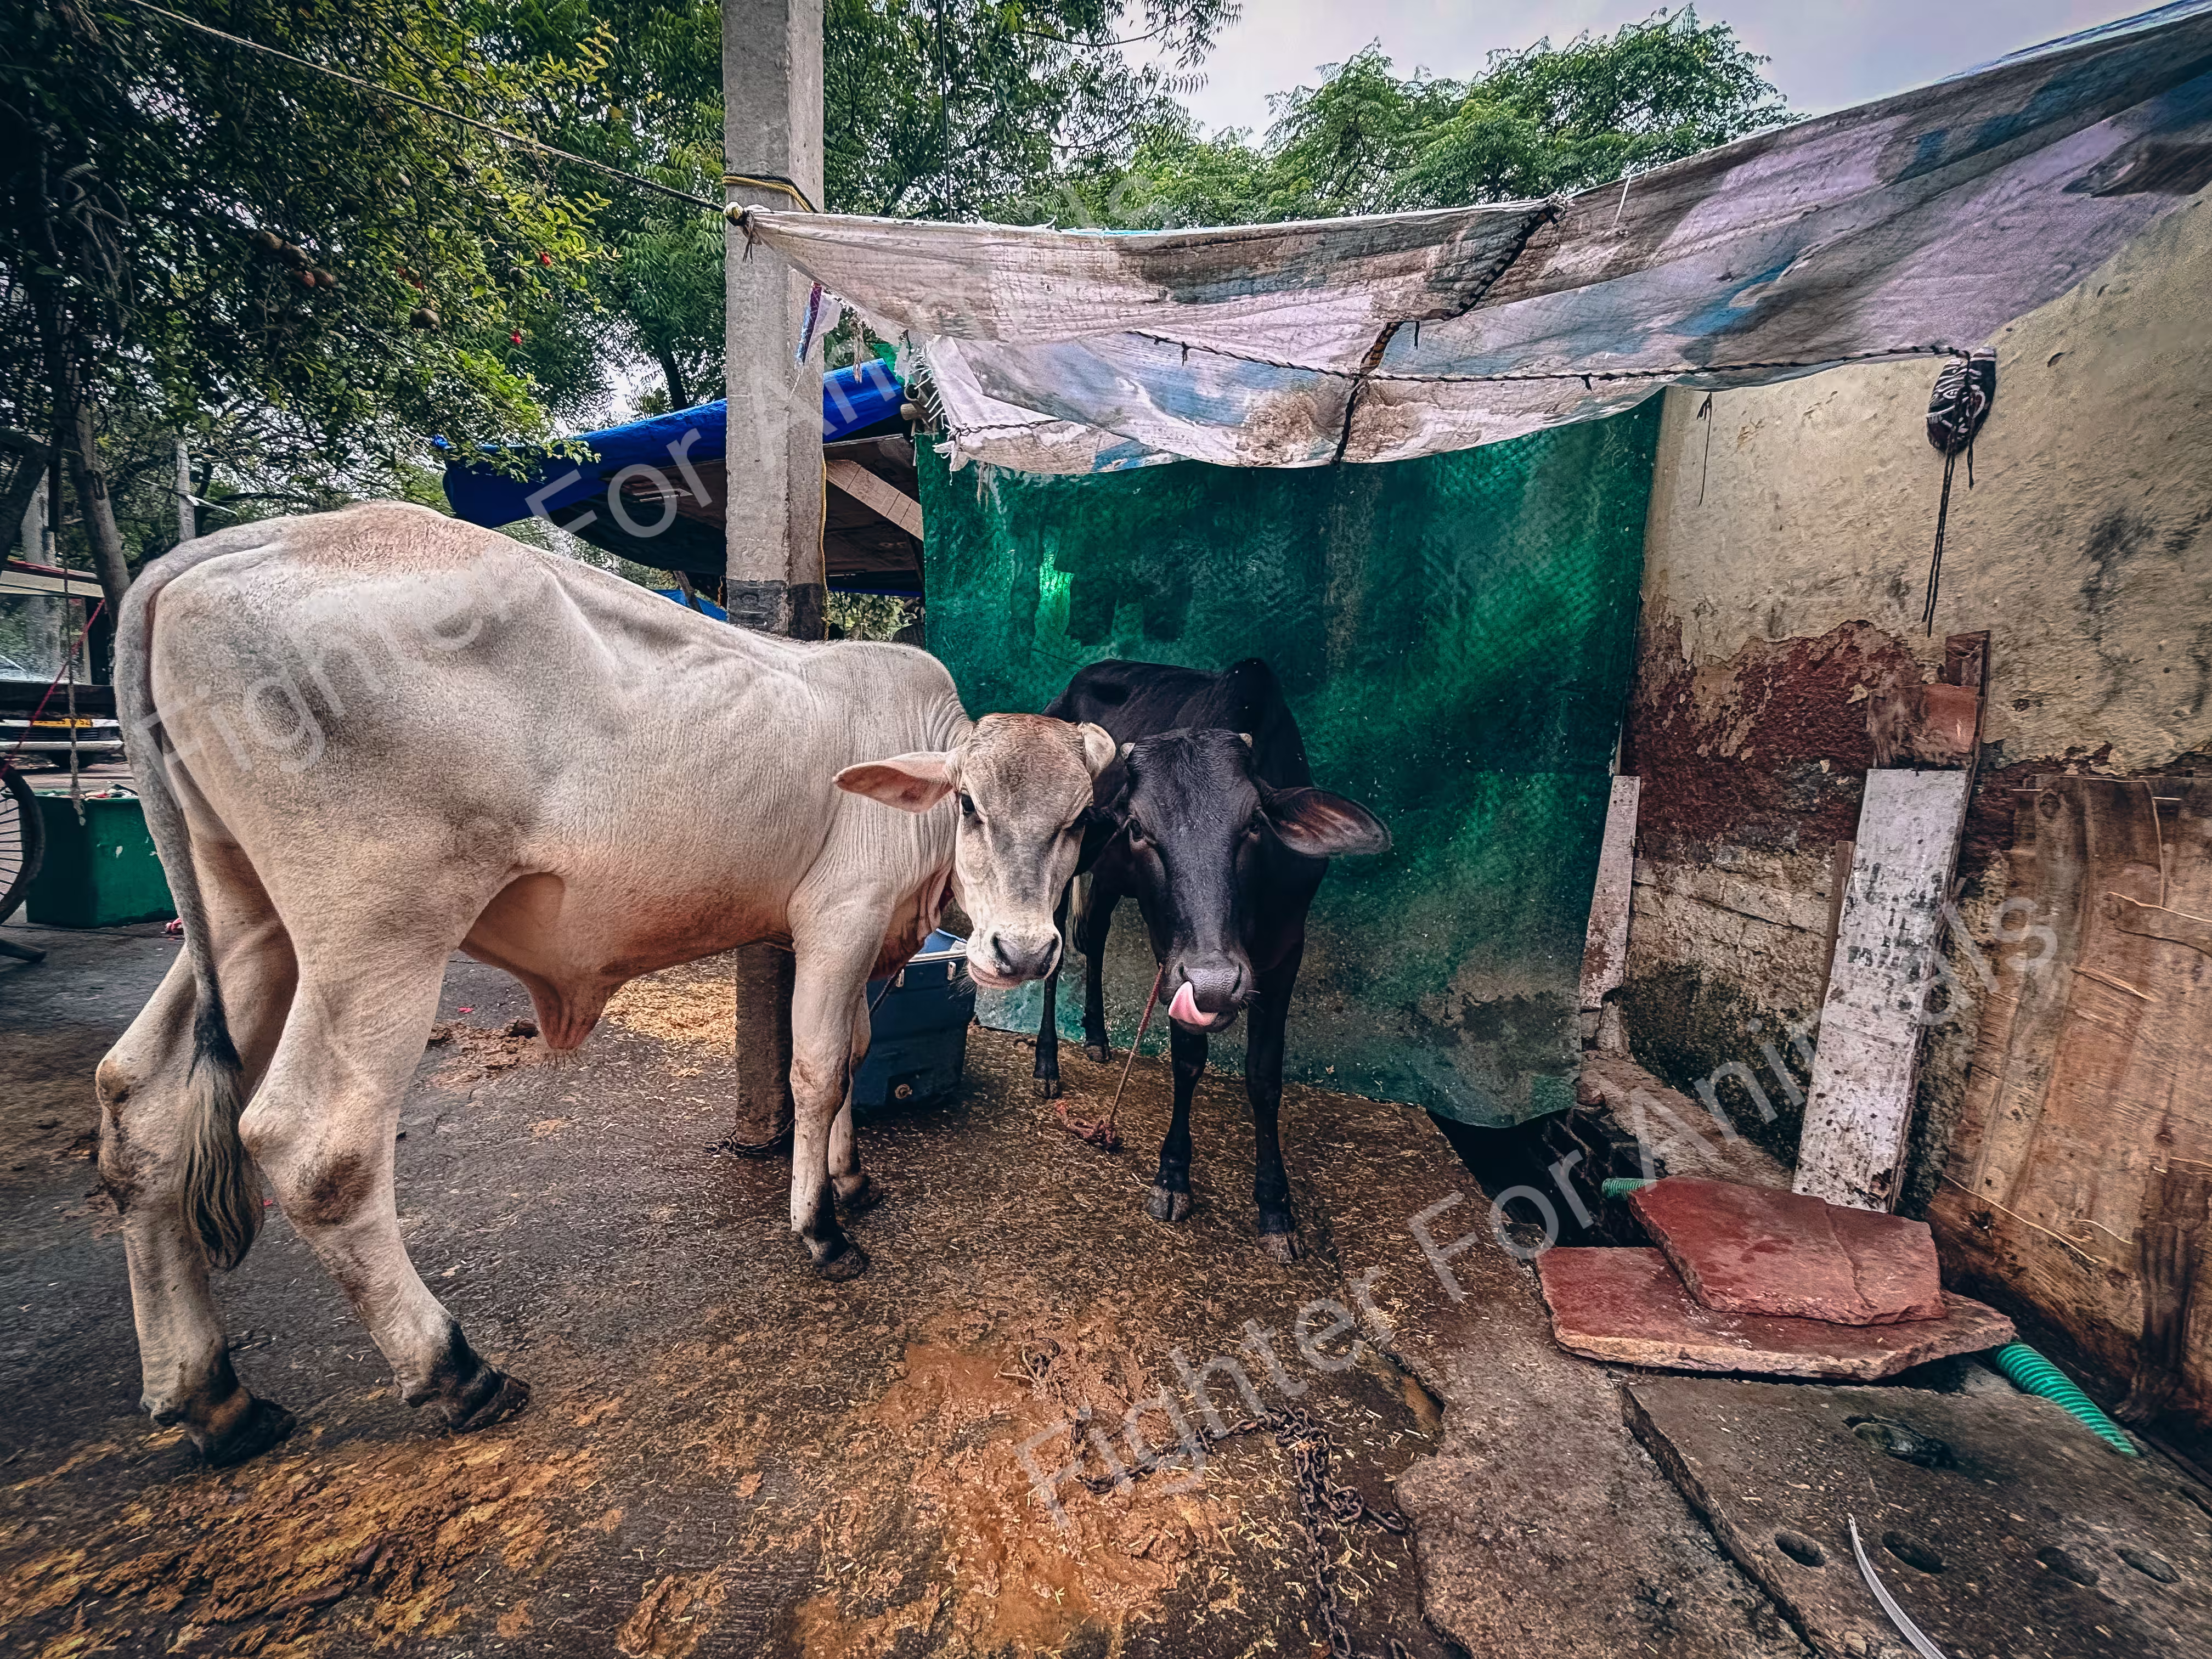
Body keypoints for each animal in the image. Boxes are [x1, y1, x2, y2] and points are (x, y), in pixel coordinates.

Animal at [98, 502, 1110, 1466]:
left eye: (1076, 821)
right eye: (969, 805)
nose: (1024, 951)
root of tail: (243, 544)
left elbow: (860, 1052)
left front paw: (851, 1177)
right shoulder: (839, 921)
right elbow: (821, 1068)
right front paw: (821, 1226)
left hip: (244, 918)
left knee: (141, 1102)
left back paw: (213, 1397)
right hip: (378, 932)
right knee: (316, 1147)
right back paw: (454, 1369)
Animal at [1031, 659, 1389, 1261]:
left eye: (1255, 824)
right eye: (1138, 828)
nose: (1216, 984)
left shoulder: (1287, 952)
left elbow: (1264, 1077)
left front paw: (1275, 1206)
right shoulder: (1172, 958)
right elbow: (1188, 1060)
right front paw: (1173, 1177)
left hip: (1108, 879)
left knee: (1095, 937)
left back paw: (1099, 1037)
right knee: (1056, 955)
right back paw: (1047, 1063)